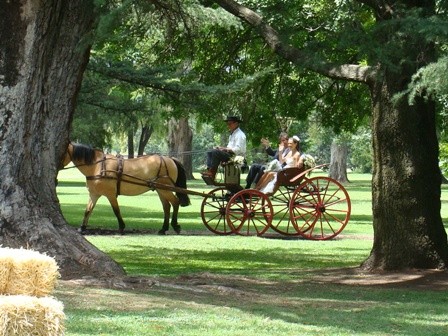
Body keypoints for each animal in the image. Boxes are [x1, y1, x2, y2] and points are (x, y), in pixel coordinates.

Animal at [60, 143, 190, 235]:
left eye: (62, 152)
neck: (98, 166)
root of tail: (170, 159)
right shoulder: (94, 194)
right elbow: (88, 210)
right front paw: (82, 228)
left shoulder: (110, 195)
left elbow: (116, 210)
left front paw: (122, 227)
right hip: (160, 190)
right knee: (166, 207)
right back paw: (163, 229)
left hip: (164, 189)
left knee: (175, 202)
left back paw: (175, 226)